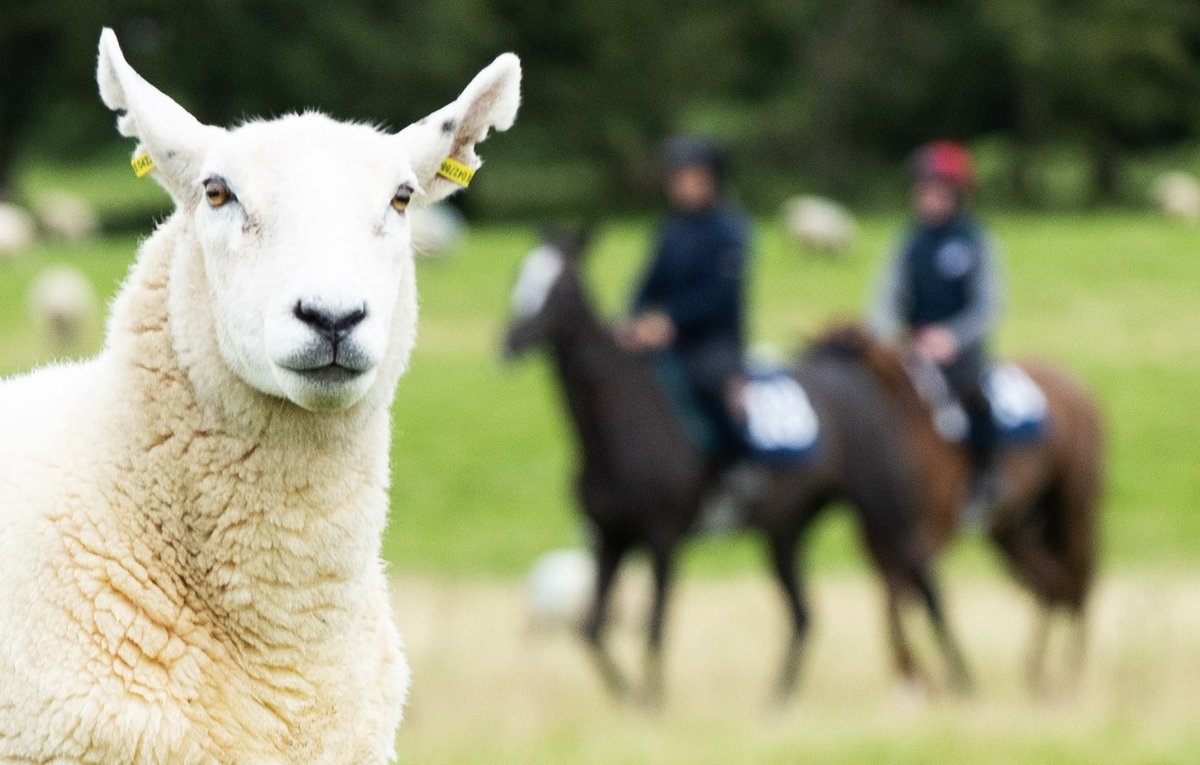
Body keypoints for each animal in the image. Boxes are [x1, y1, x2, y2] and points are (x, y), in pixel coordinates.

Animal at [501, 232, 969, 709]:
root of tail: (851, 370)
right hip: (785, 533)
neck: (619, 421)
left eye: (560, 288)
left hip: (883, 509)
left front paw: (653, 702)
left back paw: (963, 682)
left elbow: (654, 628)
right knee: (804, 615)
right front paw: (632, 699)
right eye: (520, 274)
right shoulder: (612, 539)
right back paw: (778, 701)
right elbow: (591, 630)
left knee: (926, 588)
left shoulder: (662, 537)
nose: (511, 341)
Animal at [825, 323, 1104, 695]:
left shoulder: (928, 535)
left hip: (1073, 511)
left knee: (1078, 582)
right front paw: (914, 675)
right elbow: (894, 598)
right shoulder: (879, 542)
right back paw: (1038, 673)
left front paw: (920, 677)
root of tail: (1077, 389)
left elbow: (902, 596)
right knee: (1053, 584)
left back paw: (1069, 673)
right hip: (1009, 529)